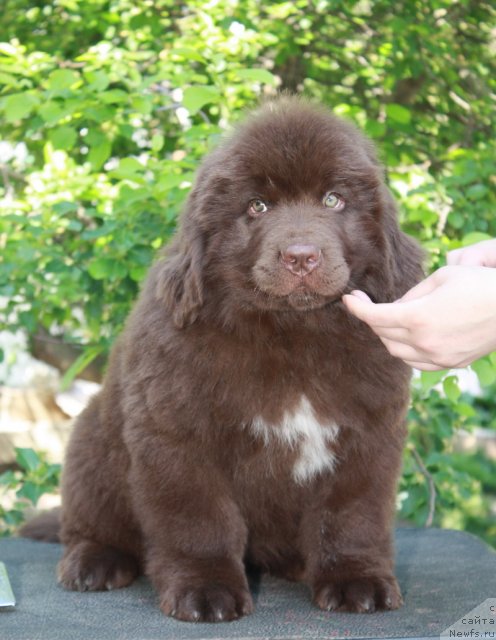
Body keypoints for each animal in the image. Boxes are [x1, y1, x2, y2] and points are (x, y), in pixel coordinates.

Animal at [46, 97, 422, 624]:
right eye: (257, 206)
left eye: (333, 200)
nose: (301, 256)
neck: (292, 334)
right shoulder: (177, 436)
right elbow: (200, 520)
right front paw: (205, 591)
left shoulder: (368, 434)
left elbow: (352, 514)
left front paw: (356, 580)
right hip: (92, 444)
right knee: (88, 520)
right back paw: (94, 562)